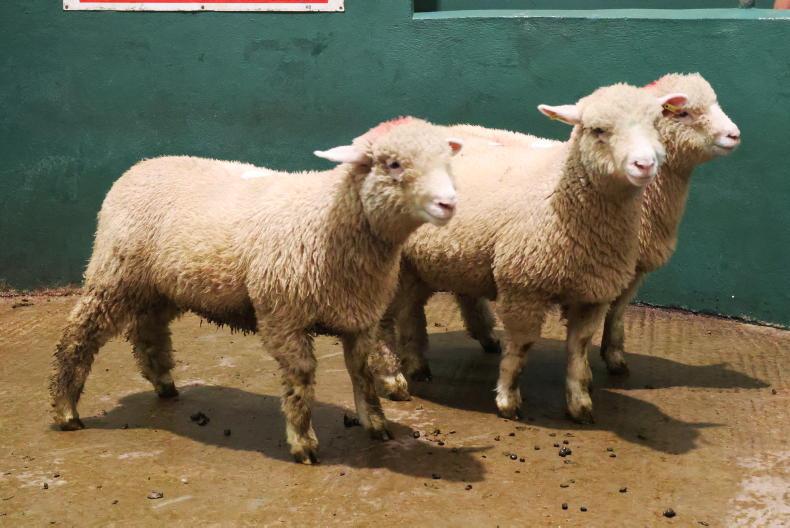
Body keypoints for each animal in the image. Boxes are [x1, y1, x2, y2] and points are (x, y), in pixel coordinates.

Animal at [49, 117, 463, 464]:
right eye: (393, 164)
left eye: (447, 162)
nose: (449, 203)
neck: (328, 218)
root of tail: (140, 165)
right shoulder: (283, 316)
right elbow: (300, 378)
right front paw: (302, 442)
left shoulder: (359, 317)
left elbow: (361, 372)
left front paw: (375, 422)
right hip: (115, 272)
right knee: (79, 334)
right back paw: (66, 409)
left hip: (162, 286)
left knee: (147, 329)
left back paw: (164, 384)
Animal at [370, 84, 688, 422]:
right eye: (598, 130)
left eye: (655, 124)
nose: (645, 165)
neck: (559, 196)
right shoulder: (523, 286)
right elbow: (521, 346)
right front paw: (508, 400)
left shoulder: (594, 292)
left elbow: (578, 348)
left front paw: (579, 404)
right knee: (384, 321)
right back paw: (393, 380)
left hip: (420, 263)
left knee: (411, 309)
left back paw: (418, 365)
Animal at [427, 74, 741, 376]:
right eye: (684, 113)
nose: (734, 134)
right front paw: (610, 357)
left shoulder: (627, 268)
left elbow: (617, 312)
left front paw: (614, 355)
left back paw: (486, 335)